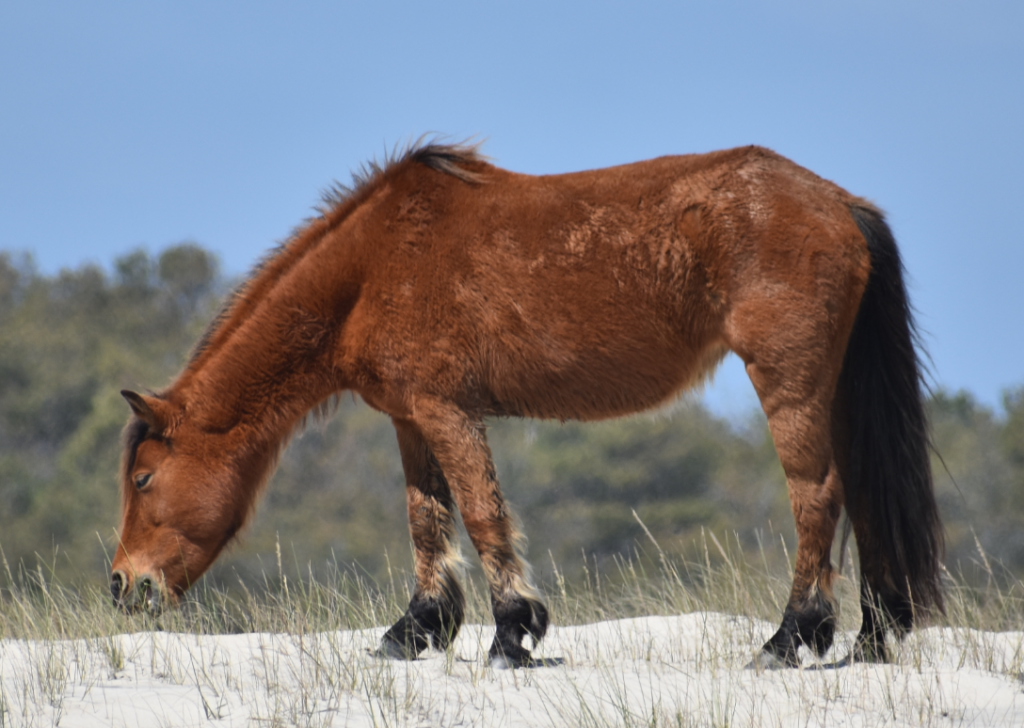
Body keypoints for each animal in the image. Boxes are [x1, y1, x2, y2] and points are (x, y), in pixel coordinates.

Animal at [111, 140, 944, 669]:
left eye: (144, 479)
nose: (123, 586)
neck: (375, 264)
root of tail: (842, 204)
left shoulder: (448, 410)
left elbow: (482, 517)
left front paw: (512, 635)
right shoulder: (412, 418)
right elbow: (427, 521)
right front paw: (416, 631)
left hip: (789, 382)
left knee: (818, 499)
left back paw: (789, 639)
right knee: (862, 496)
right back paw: (872, 640)